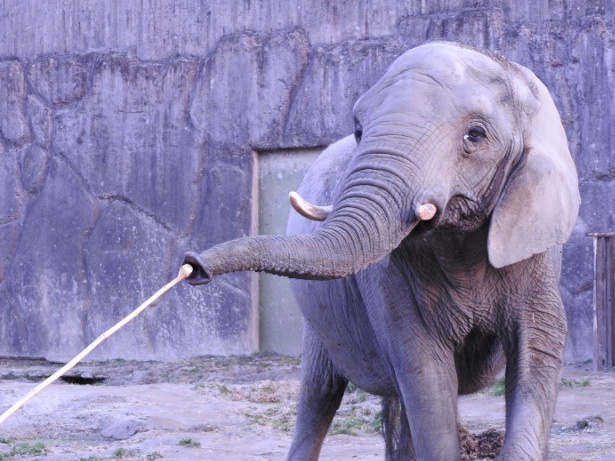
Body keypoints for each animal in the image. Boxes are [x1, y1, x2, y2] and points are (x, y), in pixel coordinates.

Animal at [184, 41, 584, 458]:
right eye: (360, 130)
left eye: (475, 135)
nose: (192, 265)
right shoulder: (391, 278)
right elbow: (425, 371)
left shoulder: (536, 246)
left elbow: (536, 351)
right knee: (320, 392)